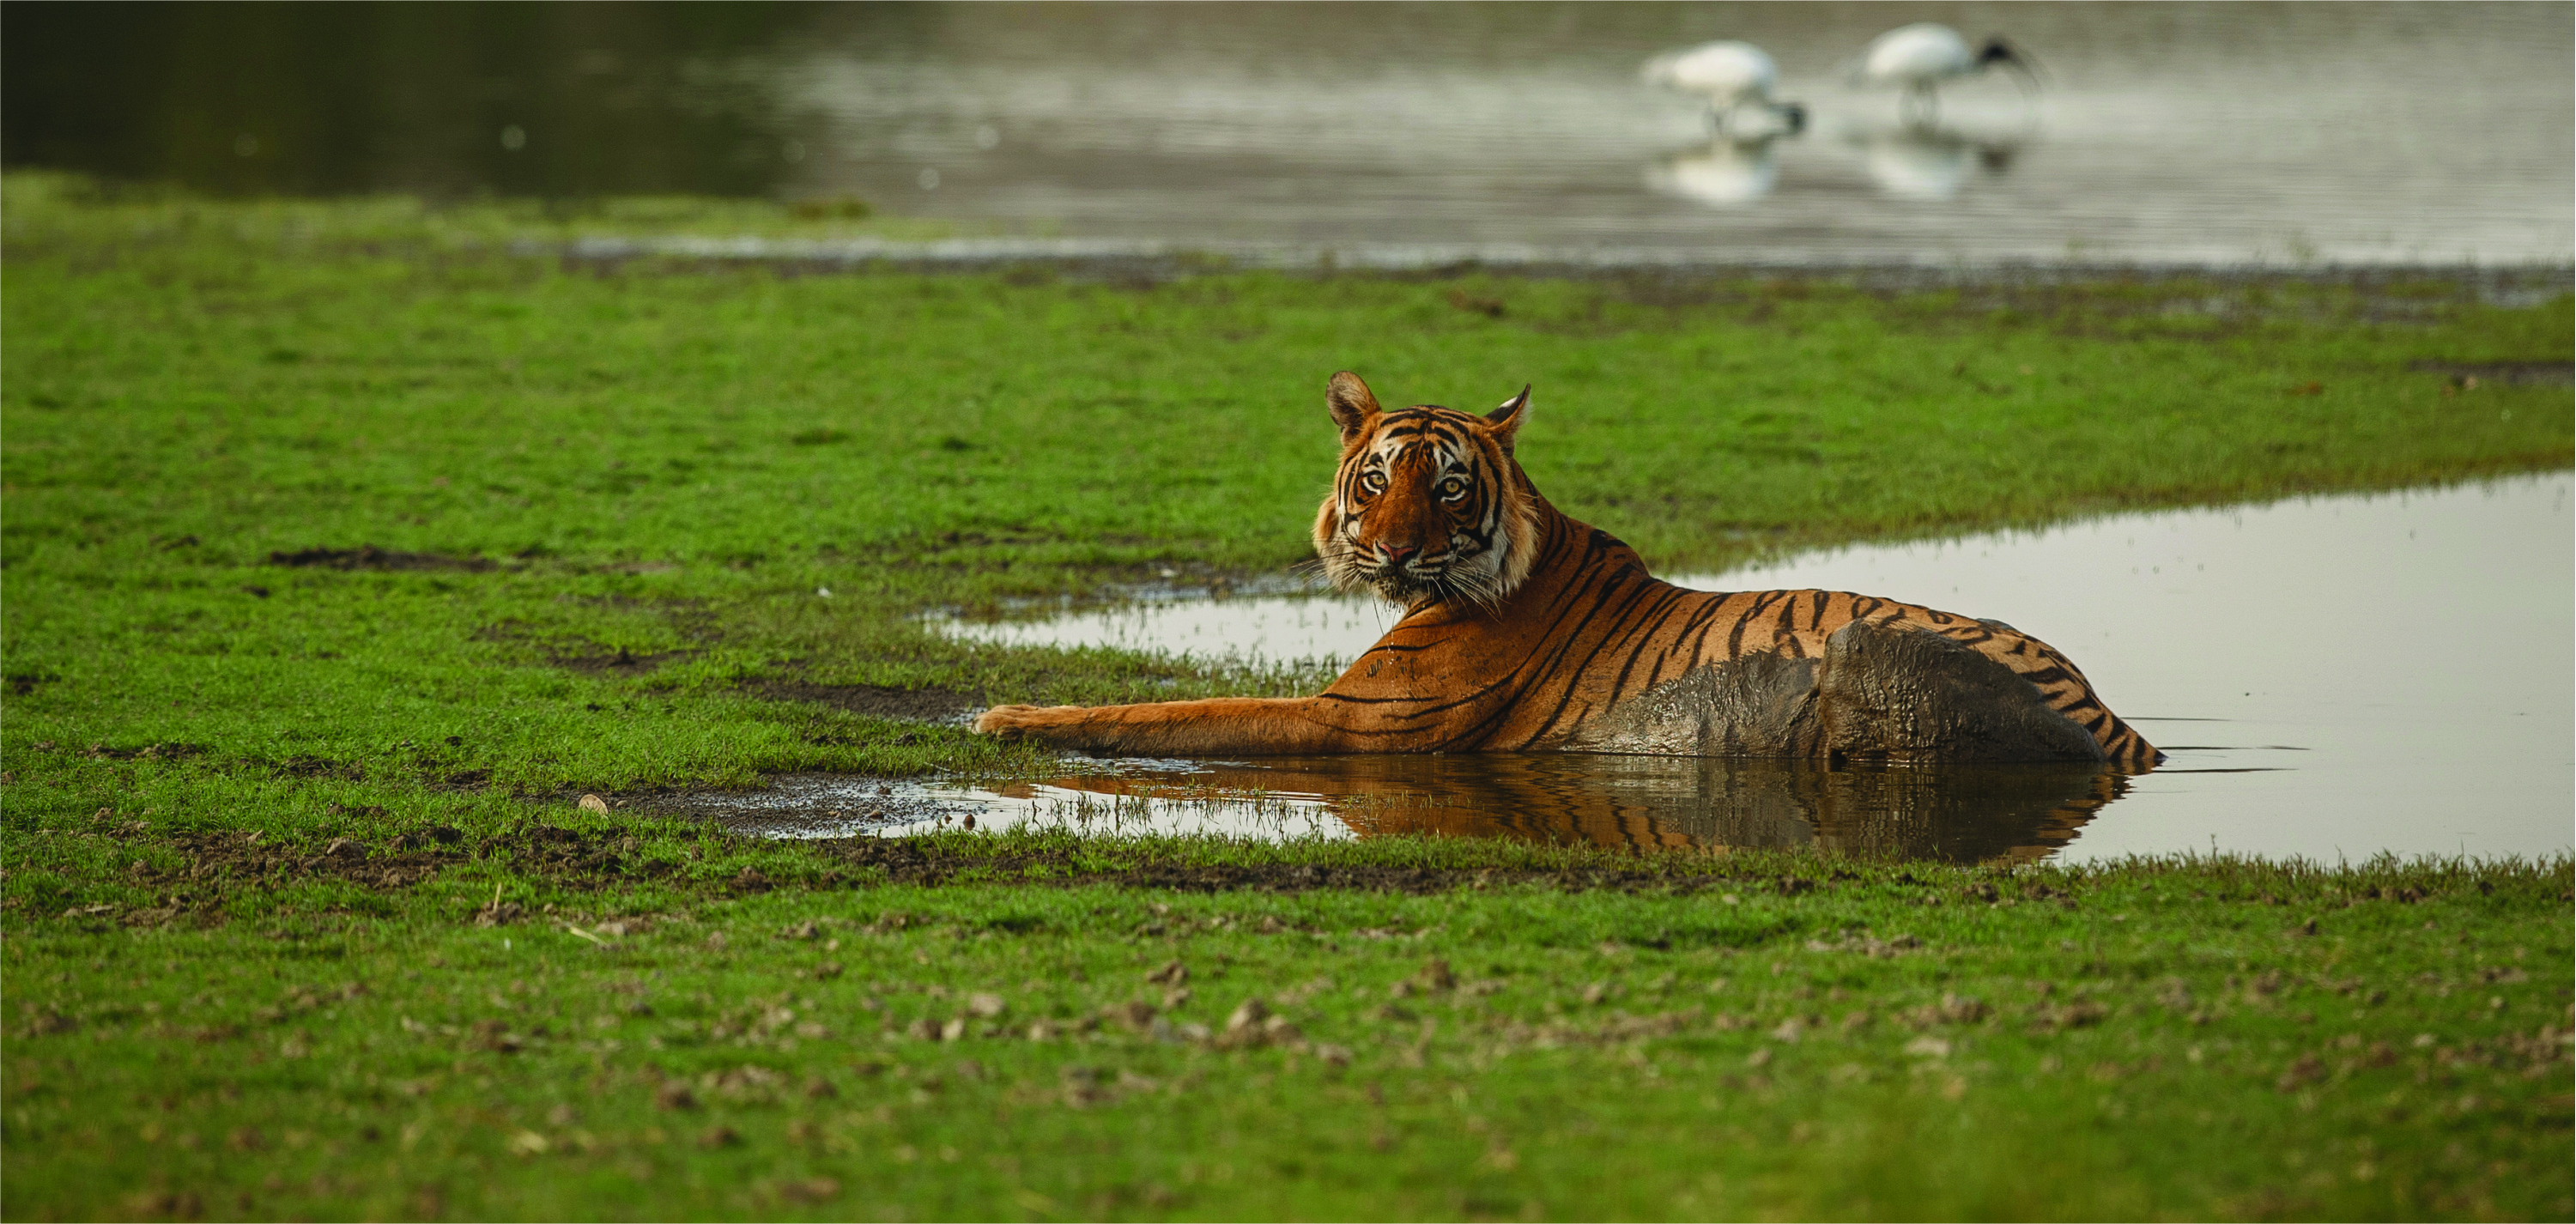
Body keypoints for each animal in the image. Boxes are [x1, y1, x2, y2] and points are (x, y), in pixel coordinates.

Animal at [974, 371, 2160, 768]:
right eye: (1376, 479)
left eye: (1448, 487)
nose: (1391, 548)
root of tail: (2111, 716)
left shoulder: (1353, 719)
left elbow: (1169, 710)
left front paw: (1005, 716)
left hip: (1870, 646)